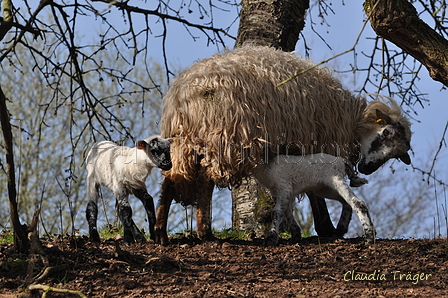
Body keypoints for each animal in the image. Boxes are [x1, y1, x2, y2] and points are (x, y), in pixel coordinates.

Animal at [155, 44, 412, 244]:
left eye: (398, 154)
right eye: (386, 132)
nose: (368, 168)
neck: (351, 120)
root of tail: (180, 95)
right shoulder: (314, 145)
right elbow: (313, 194)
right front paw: (326, 228)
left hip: (187, 139)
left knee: (172, 180)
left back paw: (164, 232)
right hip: (219, 135)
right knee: (204, 182)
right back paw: (199, 232)